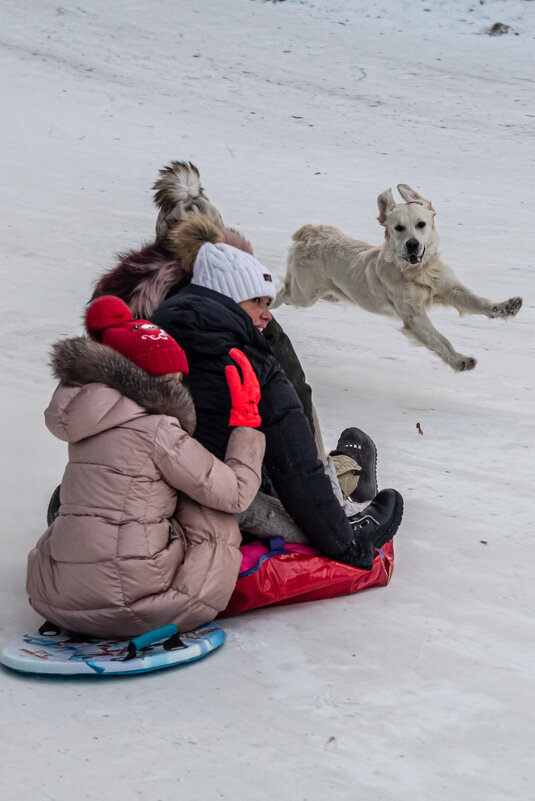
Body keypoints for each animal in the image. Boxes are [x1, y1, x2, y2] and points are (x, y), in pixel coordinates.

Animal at [276, 183, 524, 370]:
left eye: (421, 224)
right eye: (398, 227)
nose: (412, 245)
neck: (418, 272)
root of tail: (311, 231)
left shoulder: (450, 289)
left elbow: (480, 302)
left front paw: (508, 307)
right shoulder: (413, 314)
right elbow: (439, 338)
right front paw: (459, 360)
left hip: (329, 295)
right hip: (304, 294)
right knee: (284, 291)